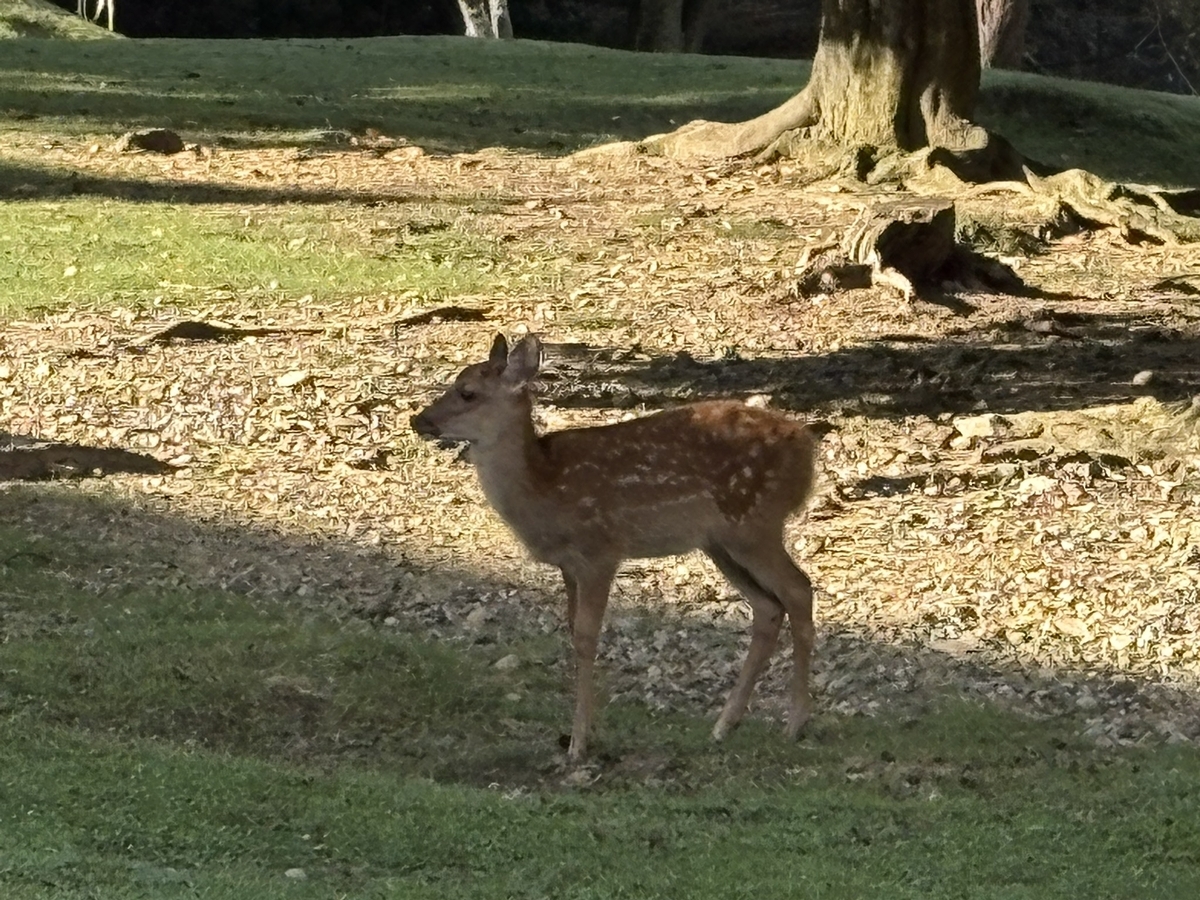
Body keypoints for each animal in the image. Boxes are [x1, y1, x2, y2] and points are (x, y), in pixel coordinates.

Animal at [411, 334, 819, 762]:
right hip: (721, 542)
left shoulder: (599, 550)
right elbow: (572, 628)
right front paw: (585, 732)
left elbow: (586, 637)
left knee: (798, 589)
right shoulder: (568, 564)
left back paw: (795, 723)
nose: (418, 420)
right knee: (768, 607)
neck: (544, 488)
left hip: (755, 523)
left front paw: (578, 743)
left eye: (468, 392)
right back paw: (724, 726)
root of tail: (807, 449)